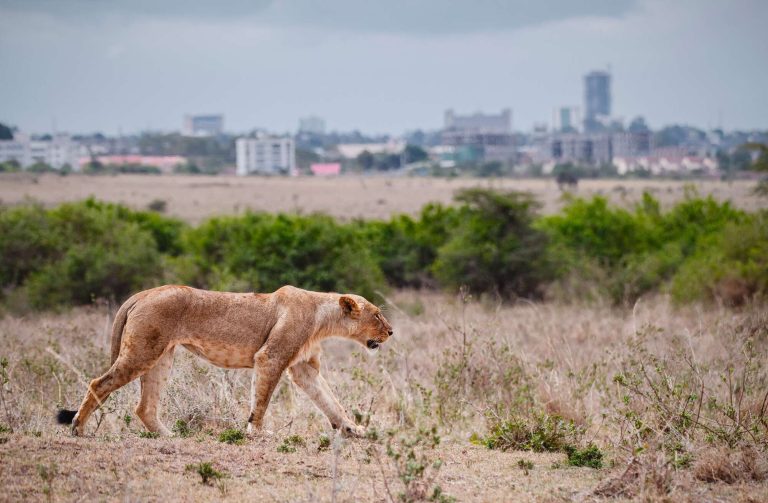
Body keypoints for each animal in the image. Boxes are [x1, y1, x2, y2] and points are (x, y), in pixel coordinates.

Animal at [56, 285, 393, 438]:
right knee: (99, 383)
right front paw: (257, 433)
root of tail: (142, 293)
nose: (391, 331)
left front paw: (352, 430)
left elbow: (330, 400)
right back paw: (78, 428)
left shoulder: (303, 368)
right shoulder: (271, 357)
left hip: (160, 357)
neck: (322, 318)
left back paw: (169, 436)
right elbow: (262, 399)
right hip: (142, 352)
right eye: (377, 314)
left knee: (144, 406)